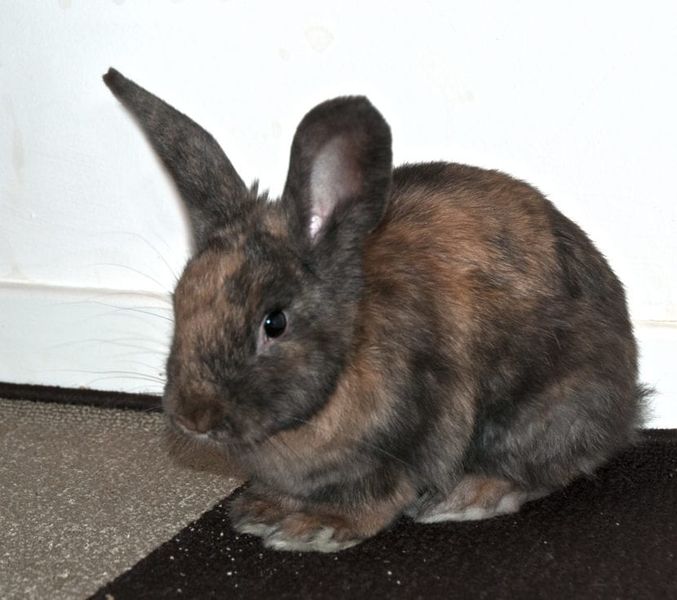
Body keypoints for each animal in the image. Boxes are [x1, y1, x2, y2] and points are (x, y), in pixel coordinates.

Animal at [103, 68, 648, 553]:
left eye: (274, 322)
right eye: (180, 300)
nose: (191, 416)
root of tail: (627, 403)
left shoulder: (416, 435)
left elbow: (380, 496)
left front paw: (315, 528)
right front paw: (262, 508)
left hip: (543, 407)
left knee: (545, 467)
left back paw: (469, 495)